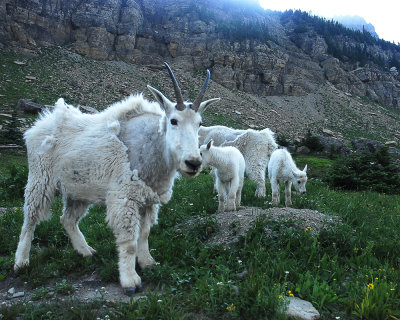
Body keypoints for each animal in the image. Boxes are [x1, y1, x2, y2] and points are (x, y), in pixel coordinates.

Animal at [13, 62, 219, 296]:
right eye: (174, 120)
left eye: (199, 123)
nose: (193, 163)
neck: (153, 149)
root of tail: (37, 126)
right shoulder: (125, 197)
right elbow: (129, 241)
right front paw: (131, 281)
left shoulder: (148, 200)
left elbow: (144, 233)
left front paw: (148, 263)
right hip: (41, 179)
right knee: (30, 218)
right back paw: (21, 262)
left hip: (78, 189)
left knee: (67, 219)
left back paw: (86, 251)